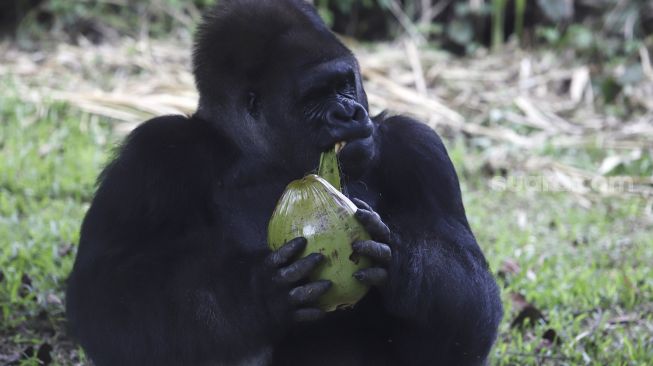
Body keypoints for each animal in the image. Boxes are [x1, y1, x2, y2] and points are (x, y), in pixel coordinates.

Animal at [66, 0, 502, 366]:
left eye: (344, 83)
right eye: (314, 97)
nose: (350, 113)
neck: (263, 161)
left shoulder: (420, 149)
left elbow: (470, 316)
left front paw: (399, 258)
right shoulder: (153, 156)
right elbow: (103, 295)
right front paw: (253, 295)